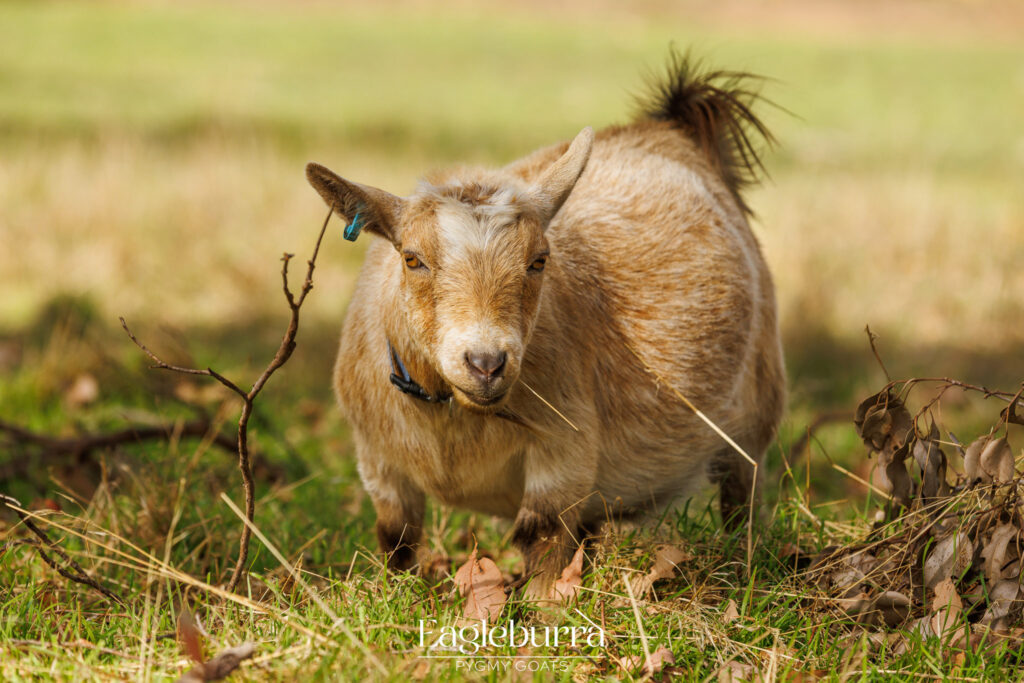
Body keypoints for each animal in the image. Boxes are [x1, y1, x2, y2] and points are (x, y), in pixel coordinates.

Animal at [306, 52, 785, 598]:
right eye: (411, 258)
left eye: (539, 260)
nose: (486, 363)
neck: (451, 421)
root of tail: (669, 130)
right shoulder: (378, 463)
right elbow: (397, 539)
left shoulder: (562, 456)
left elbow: (543, 539)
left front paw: (542, 611)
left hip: (756, 410)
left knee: (742, 492)